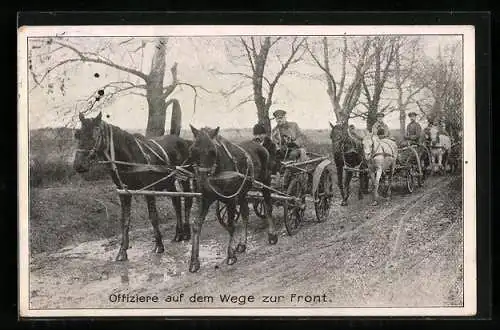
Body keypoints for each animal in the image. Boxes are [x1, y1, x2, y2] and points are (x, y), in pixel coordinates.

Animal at [72, 112, 193, 262]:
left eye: (94, 135)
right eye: (77, 135)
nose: (79, 165)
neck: (129, 157)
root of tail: (183, 141)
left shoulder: (149, 189)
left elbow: (153, 216)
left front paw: (159, 245)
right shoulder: (124, 192)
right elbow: (125, 220)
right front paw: (122, 251)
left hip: (185, 178)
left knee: (187, 201)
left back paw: (186, 233)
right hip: (170, 181)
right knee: (176, 202)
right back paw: (178, 234)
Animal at [188, 125, 278, 274]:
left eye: (213, 151)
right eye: (193, 150)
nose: (201, 181)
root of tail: (259, 145)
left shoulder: (230, 200)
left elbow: (231, 226)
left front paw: (230, 255)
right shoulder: (206, 199)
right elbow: (196, 226)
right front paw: (194, 262)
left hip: (266, 181)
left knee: (268, 207)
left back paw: (272, 235)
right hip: (242, 192)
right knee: (245, 214)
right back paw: (243, 243)